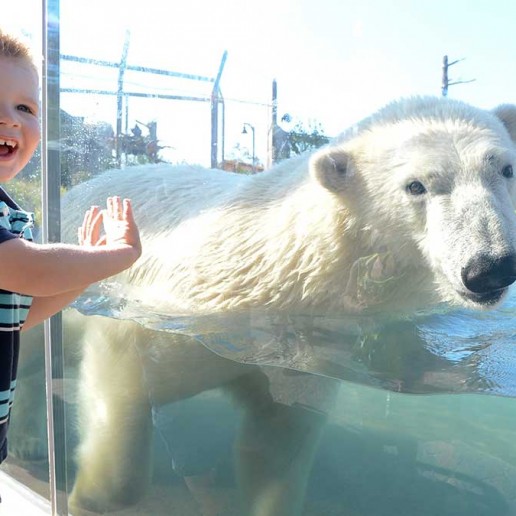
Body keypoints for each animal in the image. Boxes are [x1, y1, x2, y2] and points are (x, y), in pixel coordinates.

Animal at [13, 95, 516, 512]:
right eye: (417, 186)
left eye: (505, 168)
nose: (489, 266)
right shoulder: (165, 313)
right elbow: (121, 383)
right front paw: (91, 497)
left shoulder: (303, 358)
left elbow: (274, 443)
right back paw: (28, 439)